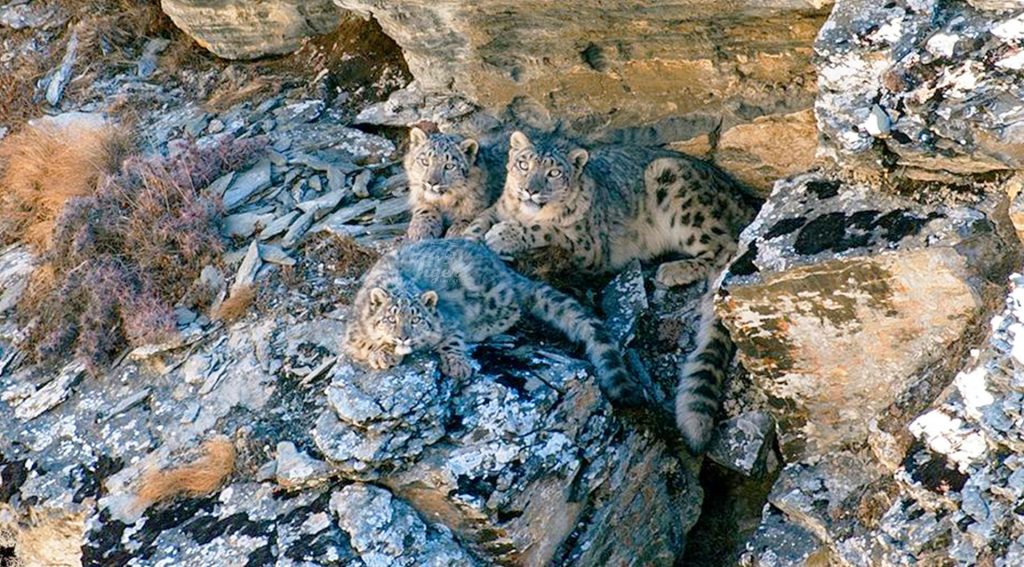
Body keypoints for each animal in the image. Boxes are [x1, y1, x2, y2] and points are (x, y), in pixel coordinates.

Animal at [342, 239, 645, 407]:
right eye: (390, 318)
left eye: (416, 319)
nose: (403, 336)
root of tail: (503, 268)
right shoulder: (352, 334)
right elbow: (363, 344)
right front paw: (383, 354)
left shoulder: (448, 322)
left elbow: (452, 340)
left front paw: (458, 366)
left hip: (487, 291)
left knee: (514, 308)